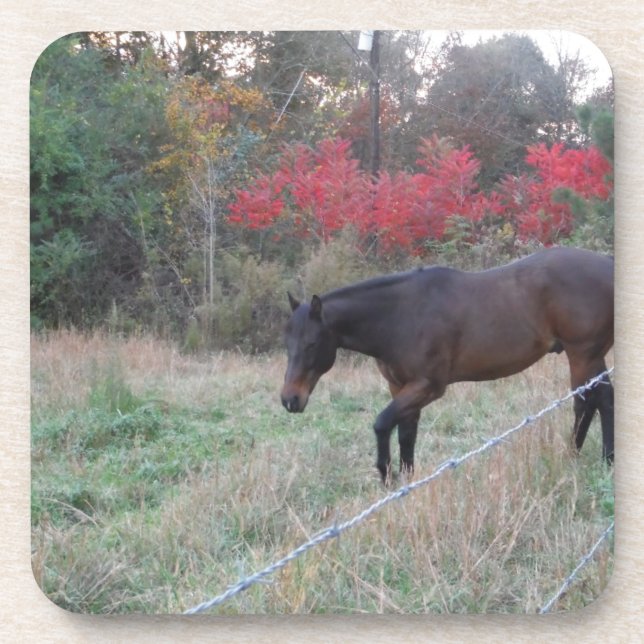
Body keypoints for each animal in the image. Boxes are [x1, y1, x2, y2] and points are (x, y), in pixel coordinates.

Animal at [281, 247, 614, 484]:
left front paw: (386, 476)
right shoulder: (400, 387)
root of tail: (609, 266)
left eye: (312, 344)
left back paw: (585, 458)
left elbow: (382, 423)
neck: (400, 316)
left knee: (590, 401)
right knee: (598, 399)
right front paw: (405, 483)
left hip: (582, 354)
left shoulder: (427, 386)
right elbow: (406, 434)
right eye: (287, 344)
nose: (290, 399)